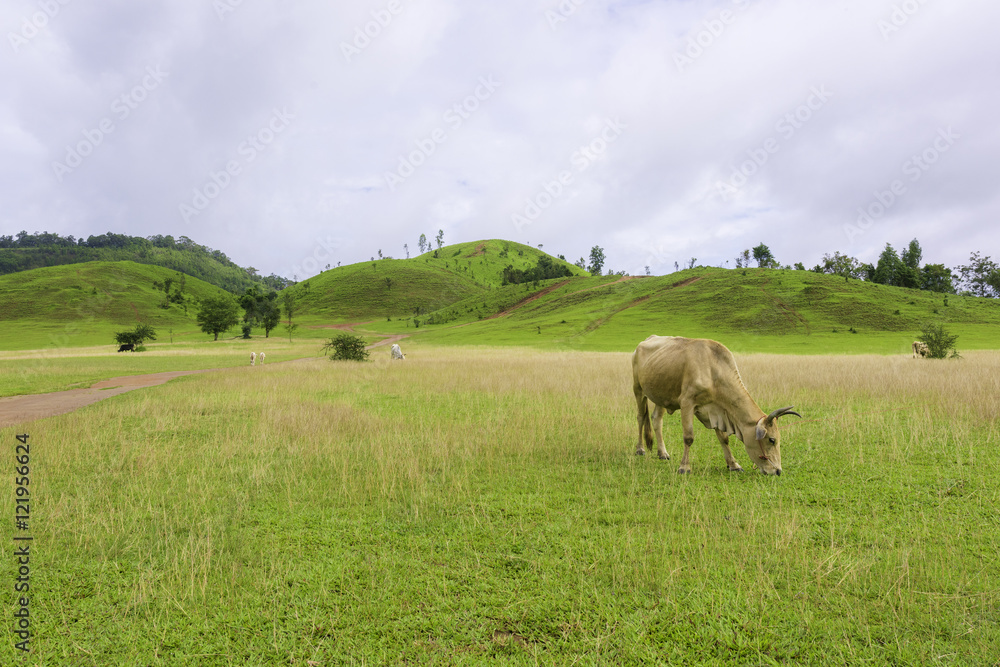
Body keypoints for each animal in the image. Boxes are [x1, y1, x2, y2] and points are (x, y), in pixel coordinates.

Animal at [632, 335, 800, 476]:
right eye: (772, 440)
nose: (777, 471)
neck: (713, 371)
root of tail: (646, 340)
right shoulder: (687, 403)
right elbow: (688, 437)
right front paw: (684, 467)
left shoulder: (718, 410)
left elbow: (724, 438)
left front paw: (733, 465)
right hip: (638, 389)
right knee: (640, 417)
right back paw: (640, 449)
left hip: (661, 395)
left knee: (656, 420)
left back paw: (662, 453)